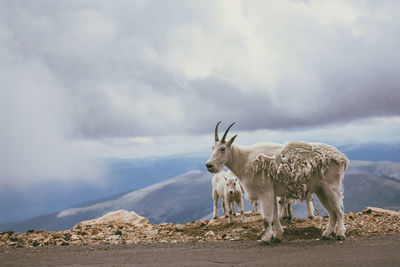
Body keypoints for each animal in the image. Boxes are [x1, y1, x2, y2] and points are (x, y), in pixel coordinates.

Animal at [205, 122, 348, 244]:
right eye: (212, 147)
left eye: (223, 148)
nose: (209, 165)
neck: (245, 160)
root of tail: (342, 158)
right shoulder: (272, 194)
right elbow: (274, 217)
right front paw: (278, 236)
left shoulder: (265, 192)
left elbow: (267, 218)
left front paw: (266, 239)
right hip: (321, 190)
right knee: (332, 213)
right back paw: (326, 234)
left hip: (331, 187)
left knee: (339, 210)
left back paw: (340, 234)